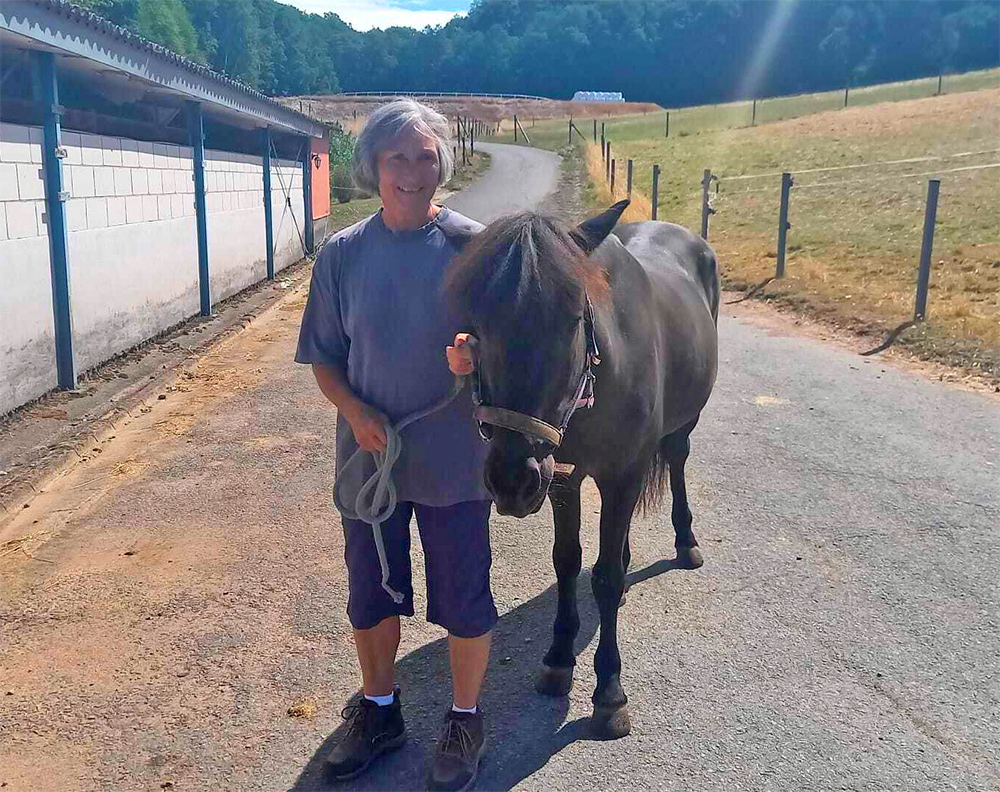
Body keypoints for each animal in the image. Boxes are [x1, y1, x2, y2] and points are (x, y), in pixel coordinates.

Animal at [448, 201, 720, 740]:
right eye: (477, 327)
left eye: (573, 319)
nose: (510, 480)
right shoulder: (561, 478)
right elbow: (568, 561)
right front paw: (557, 658)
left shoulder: (622, 473)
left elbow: (607, 578)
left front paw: (609, 691)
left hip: (682, 426)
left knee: (678, 459)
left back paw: (686, 540)